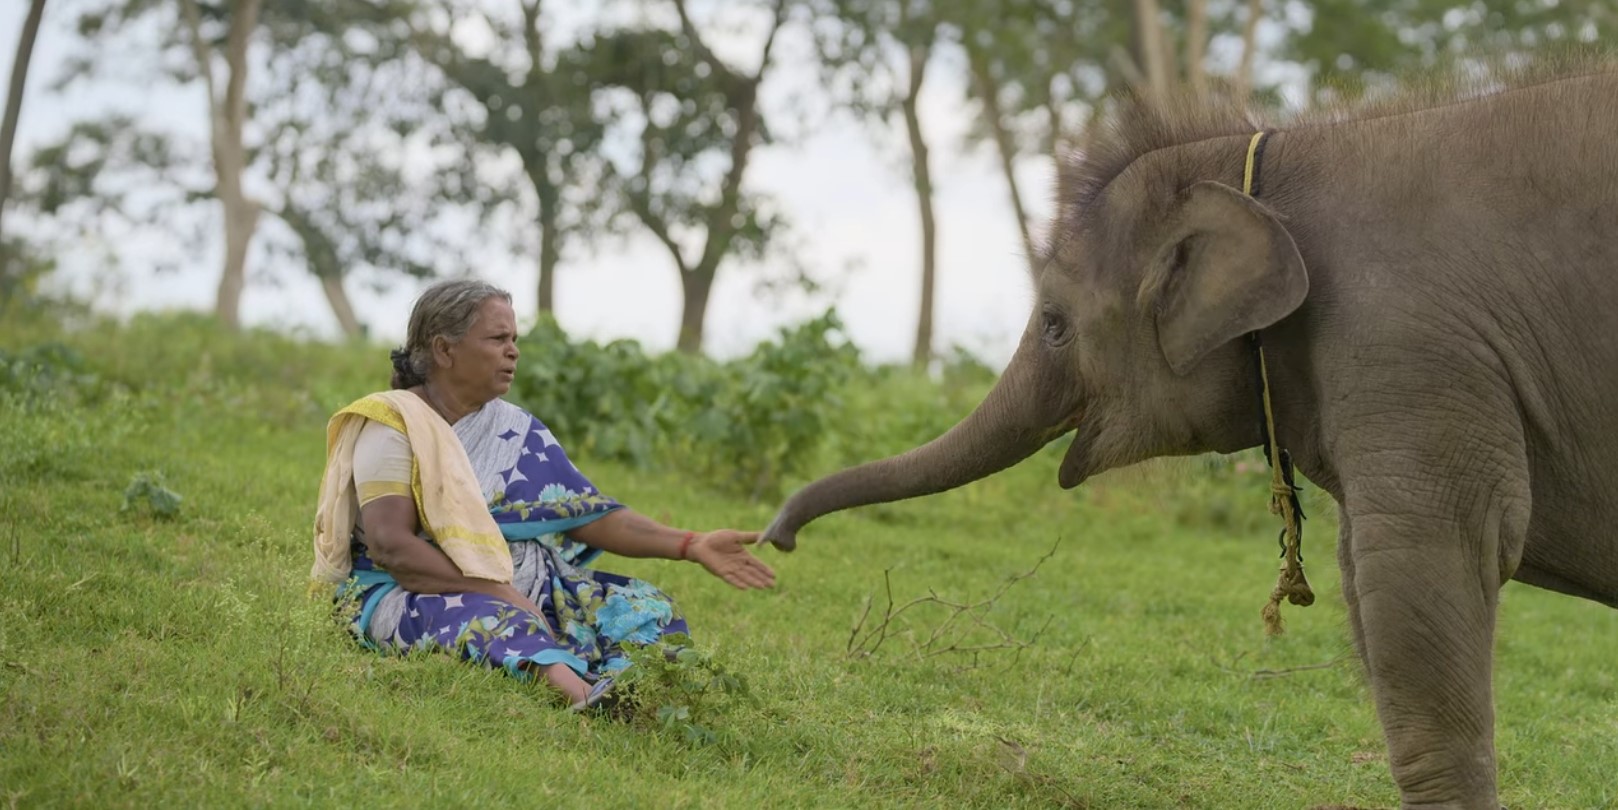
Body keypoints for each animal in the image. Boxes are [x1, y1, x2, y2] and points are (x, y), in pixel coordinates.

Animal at [763, 61, 1618, 809]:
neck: (1267, 153)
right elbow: (1361, 577)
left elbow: (1423, 563)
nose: (776, 541)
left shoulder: (1412, 348)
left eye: (1055, 324)